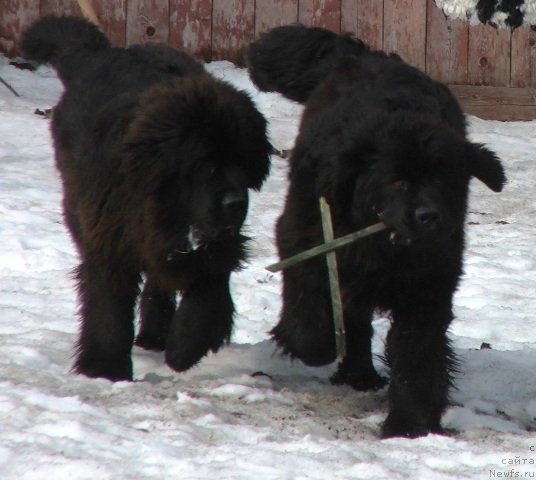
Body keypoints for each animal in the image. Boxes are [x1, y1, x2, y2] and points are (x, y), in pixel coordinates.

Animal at [22, 15, 272, 382]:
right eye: (205, 165)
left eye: (241, 162)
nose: (235, 204)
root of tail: (101, 55)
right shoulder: (109, 236)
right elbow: (109, 306)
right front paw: (105, 369)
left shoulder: (214, 243)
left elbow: (208, 287)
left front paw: (186, 345)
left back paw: (156, 334)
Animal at [247, 26, 506, 438]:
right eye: (398, 182)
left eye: (443, 178)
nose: (429, 216)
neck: (385, 244)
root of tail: (364, 55)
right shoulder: (306, 237)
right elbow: (309, 310)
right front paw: (312, 345)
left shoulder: (427, 286)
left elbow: (417, 355)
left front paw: (408, 424)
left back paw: (360, 375)